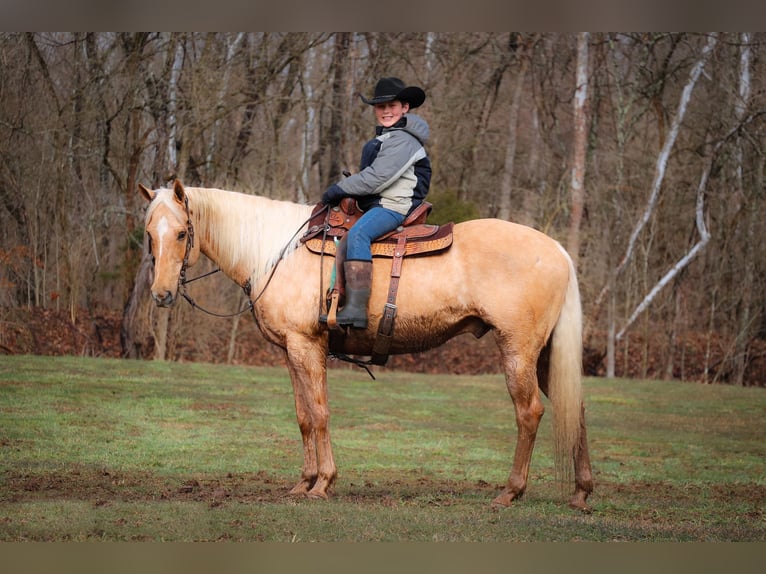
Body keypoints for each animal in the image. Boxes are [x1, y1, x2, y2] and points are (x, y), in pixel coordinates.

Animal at [138, 179, 594, 511]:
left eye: (181, 232)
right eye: (148, 234)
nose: (161, 294)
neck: (275, 253)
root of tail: (556, 249)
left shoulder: (307, 346)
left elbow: (319, 413)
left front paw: (323, 484)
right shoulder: (290, 352)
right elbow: (303, 417)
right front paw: (303, 482)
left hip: (518, 351)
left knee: (529, 412)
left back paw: (510, 492)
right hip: (545, 356)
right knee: (575, 408)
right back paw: (581, 492)